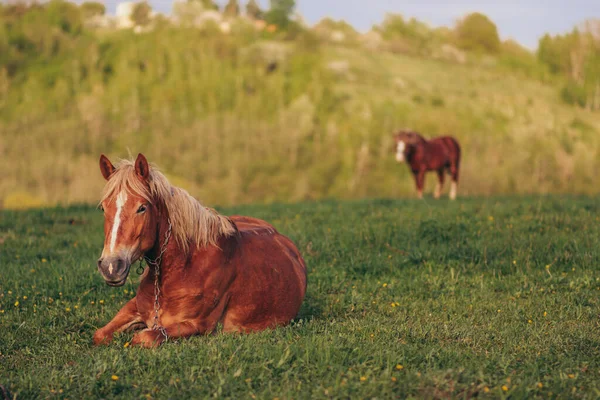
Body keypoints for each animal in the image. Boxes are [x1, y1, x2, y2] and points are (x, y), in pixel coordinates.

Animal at [94, 153, 310, 346]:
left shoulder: (197, 325)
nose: (111, 267)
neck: (183, 266)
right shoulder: (134, 308)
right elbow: (100, 334)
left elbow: (144, 337)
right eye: (103, 208)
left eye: (142, 208)